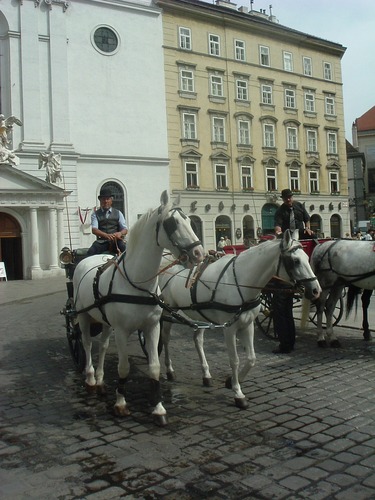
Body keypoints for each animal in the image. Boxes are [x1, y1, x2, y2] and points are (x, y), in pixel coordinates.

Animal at [72, 191, 204, 426]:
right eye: (171, 223)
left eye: (190, 221)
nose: (199, 254)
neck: (137, 283)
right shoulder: (122, 331)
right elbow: (123, 367)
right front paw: (120, 403)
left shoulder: (152, 327)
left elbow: (154, 367)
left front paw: (159, 408)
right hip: (84, 315)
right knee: (86, 344)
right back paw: (90, 378)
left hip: (105, 322)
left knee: (103, 346)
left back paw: (100, 380)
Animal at [157, 230, 322, 410]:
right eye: (295, 261)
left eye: (306, 257)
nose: (316, 290)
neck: (241, 281)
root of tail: (168, 266)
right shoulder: (229, 328)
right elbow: (234, 360)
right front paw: (238, 392)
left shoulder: (247, 324)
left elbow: (251, 358)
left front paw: (232, 381)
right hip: (168, 312)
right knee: (165, 339)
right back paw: (169, 369)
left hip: (200, 316)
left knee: (198, 340)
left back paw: (206, 374)